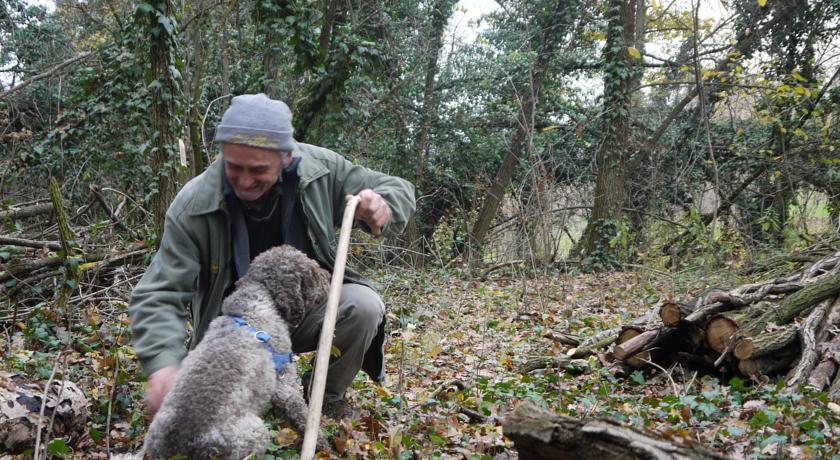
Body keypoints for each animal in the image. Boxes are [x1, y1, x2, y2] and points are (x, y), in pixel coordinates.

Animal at [138, 246, 328, 460]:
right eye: (313, 272)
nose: (329, 276)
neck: (260, 297)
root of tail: (177, 443)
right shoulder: (284, 382)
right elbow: (301, 412)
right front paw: (321, 443)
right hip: (254, 434)